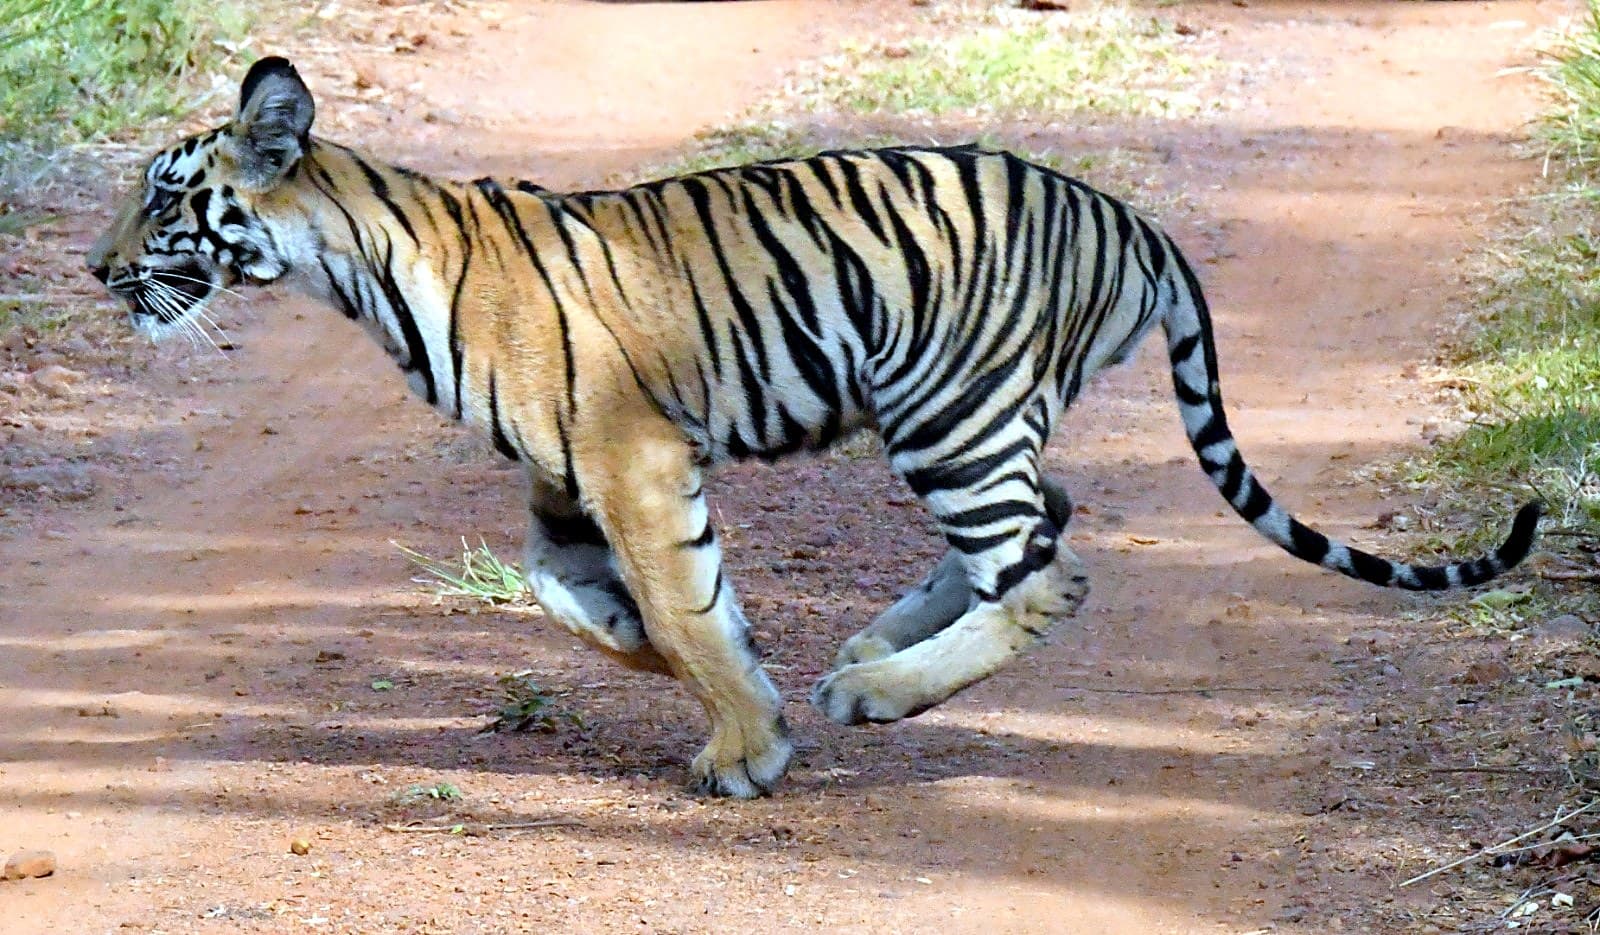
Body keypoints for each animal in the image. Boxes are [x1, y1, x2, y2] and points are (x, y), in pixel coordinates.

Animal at [88, 57, 1540, 798]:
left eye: (164, 200)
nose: (97, 271)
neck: (354, 259)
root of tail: (1128, 215)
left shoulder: (630, 453)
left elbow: (677, 604)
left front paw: (746, 740)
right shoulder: (562, 480)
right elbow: (589, 603)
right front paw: (717, 677)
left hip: (948, 407)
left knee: (1050, 570)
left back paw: (878, 687)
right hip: (973, 413)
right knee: (1043, 527)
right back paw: (870, 650)